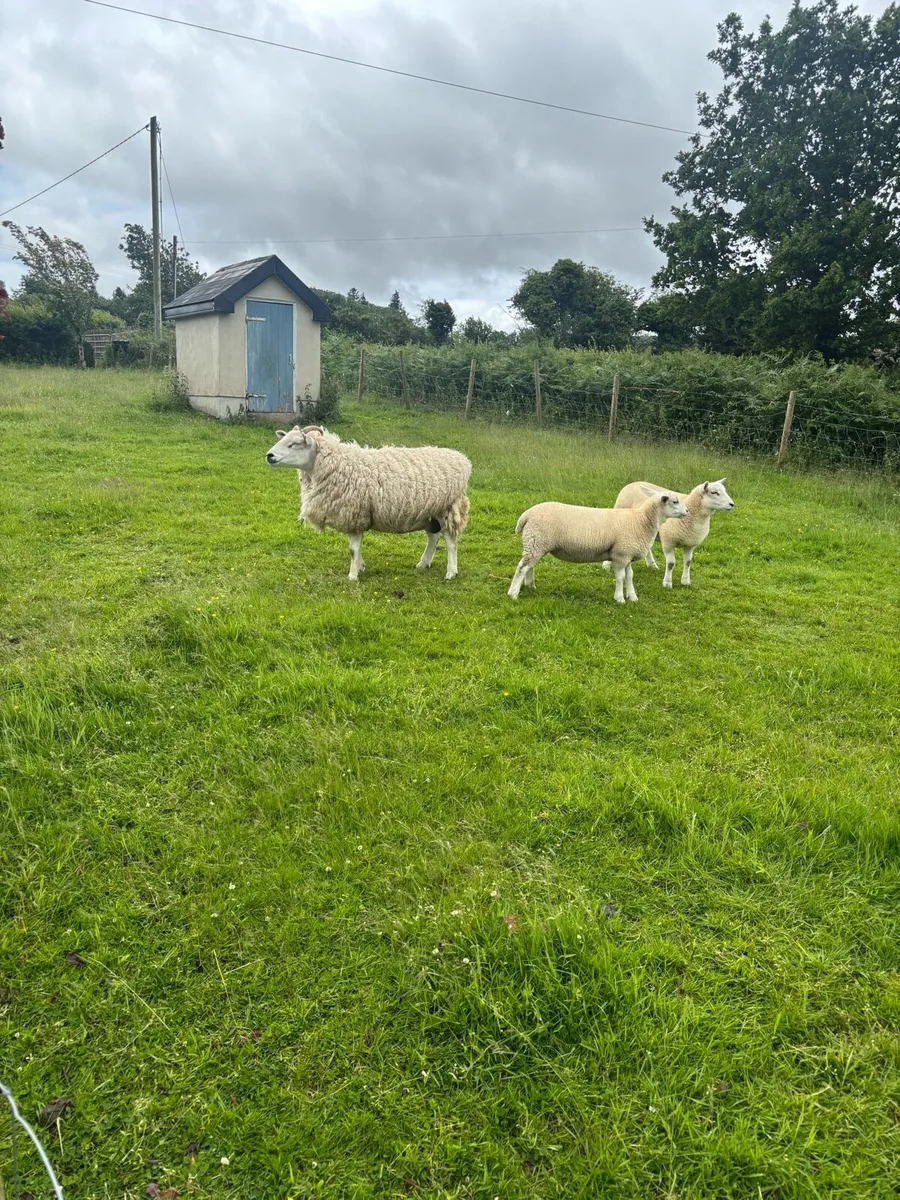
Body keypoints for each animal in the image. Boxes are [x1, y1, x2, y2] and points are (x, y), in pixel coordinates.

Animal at [265, 425, 471, 581]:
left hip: (448, 508)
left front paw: (353, 576)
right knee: (433, 538)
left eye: (294, 444)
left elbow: (352, 549)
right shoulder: (353, 517)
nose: (269, 456)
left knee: (451, 542)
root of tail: (462, 459)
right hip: (430, 512)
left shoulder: (355, 513)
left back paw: (451, 572)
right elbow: (355, 549)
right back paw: (423, 564)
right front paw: (360, 567)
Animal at [508, 489, 688, 604]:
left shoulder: (627, 554)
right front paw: (619, 599)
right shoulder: (620, 555)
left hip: (537, 544)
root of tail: (526, 515)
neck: (641, 521)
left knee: (530, 566)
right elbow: (620, 577)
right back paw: (513, 594)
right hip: (536, 541)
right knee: (522, 567)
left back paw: (530, 586)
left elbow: (630, 576)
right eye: (674, 501)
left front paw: (632, 597)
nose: (687, 511)